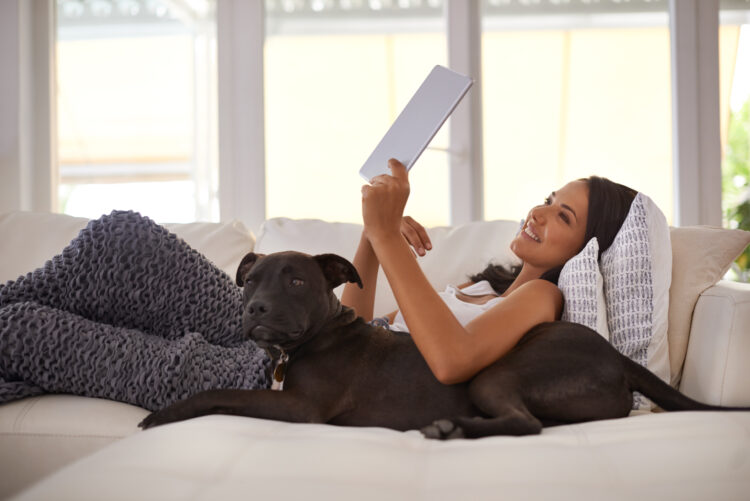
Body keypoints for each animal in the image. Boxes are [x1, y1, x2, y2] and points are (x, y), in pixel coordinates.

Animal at [140, 250, 748, 438]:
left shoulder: (301, 408)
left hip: (496, 374)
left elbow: (220, 393)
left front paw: (164, 413)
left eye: (295, 280)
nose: (254, 309)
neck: (314, 339)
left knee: (526, 424)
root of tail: (614, 355)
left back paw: (452, 428)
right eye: (250, 280)